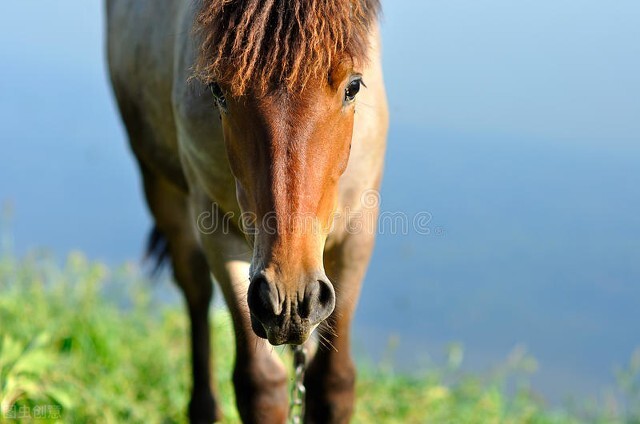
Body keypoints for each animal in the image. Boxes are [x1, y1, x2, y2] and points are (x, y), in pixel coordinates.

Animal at [106, 0, 390, 420]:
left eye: (353, 86)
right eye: (217, 90)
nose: (291, 300)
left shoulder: (358, 231)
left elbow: (332, 382)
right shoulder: (218, 231)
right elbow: (260, 382)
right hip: (159, 182)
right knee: (194, 288)